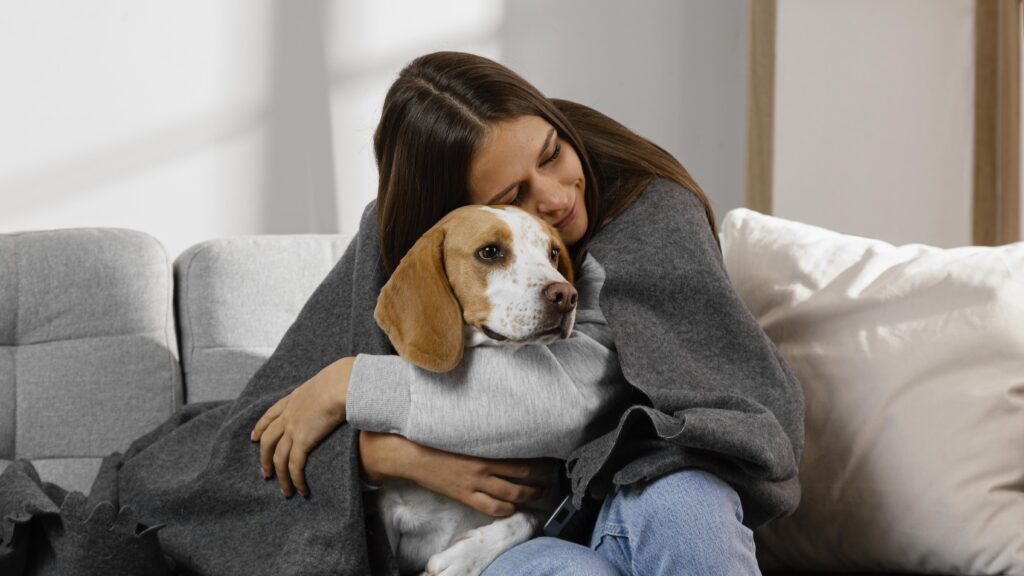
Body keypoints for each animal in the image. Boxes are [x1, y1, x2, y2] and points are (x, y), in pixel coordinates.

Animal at [372, 203, 581, 569]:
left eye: (553, 253)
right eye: (490, 252)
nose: (566, 295)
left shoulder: (544, 506)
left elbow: (519, 522)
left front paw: (463, 557)